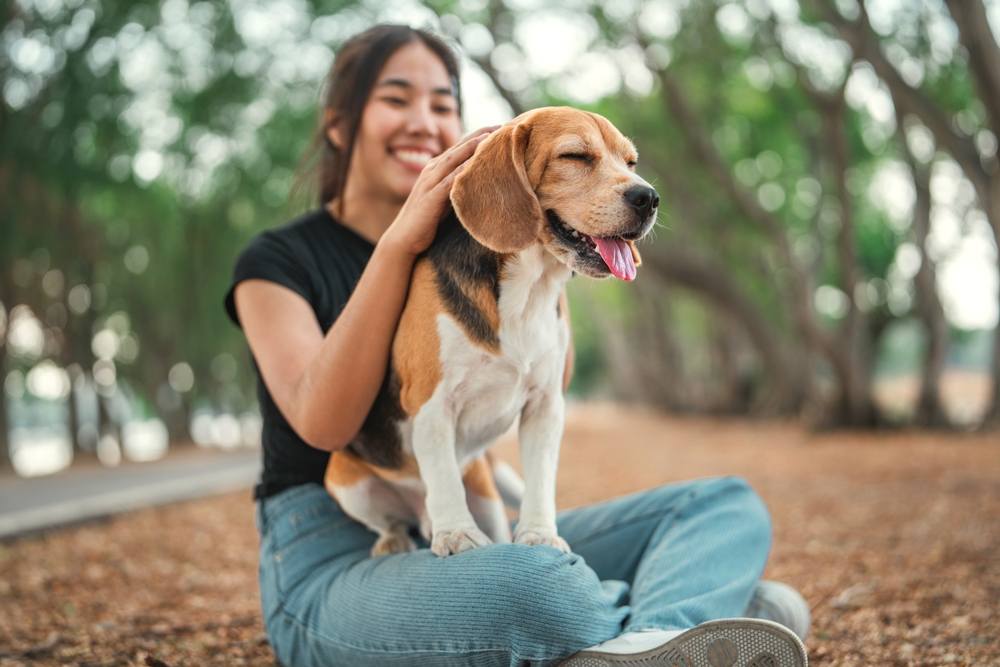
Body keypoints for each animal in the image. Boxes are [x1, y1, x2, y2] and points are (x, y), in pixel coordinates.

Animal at [324, 108, 660, 560]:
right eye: (575, 155)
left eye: (630, 163)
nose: (649, 198)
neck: (528, 290)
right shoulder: (431, 404)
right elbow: (443, 478)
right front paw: (456, 535)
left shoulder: (546, 405)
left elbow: (541, 478)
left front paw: (539, 534)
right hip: (347, 480)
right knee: (392, 519)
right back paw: (398, 538)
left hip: (485, 493)